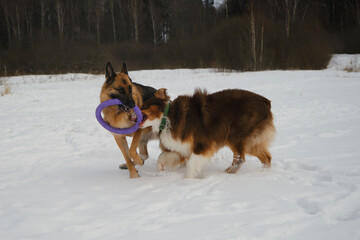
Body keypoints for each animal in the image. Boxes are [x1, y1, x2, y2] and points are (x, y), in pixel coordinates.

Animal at [139, 88, 274, 178]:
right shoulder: (182, 148)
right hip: (251, 141)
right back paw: (265, 173)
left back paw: (227, 173)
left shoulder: (202, 145)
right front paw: (161, 171)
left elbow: (191, 165)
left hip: (235, 134)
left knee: (240, 158)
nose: (133, 111)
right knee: (266, 158)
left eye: (143, 106)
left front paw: (187, 181)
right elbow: (161, 157)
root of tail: (266, 102)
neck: (167, 117)